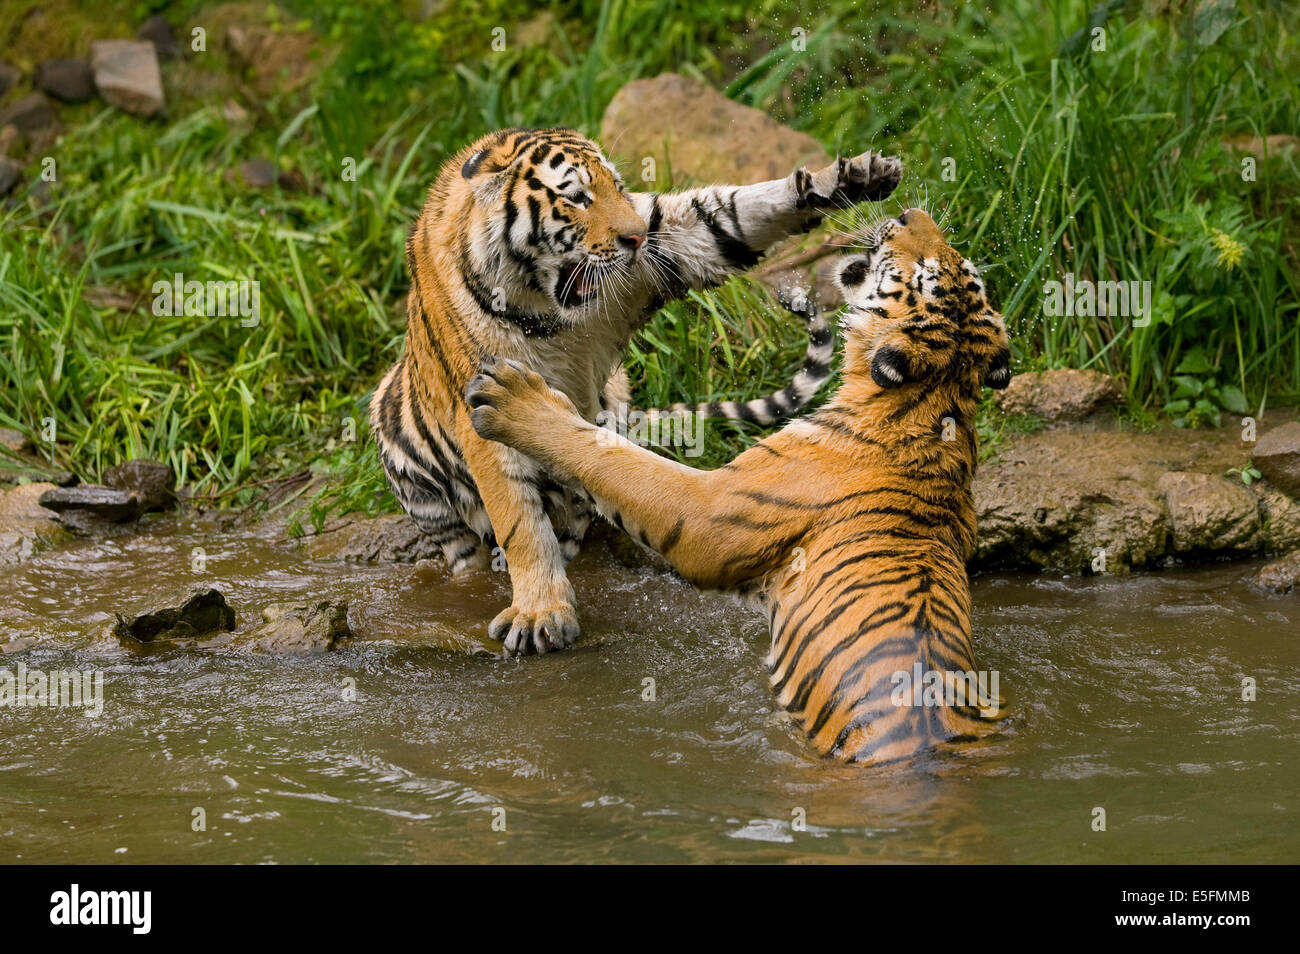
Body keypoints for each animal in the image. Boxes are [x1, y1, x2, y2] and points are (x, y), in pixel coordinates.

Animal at [369, 125, 904, 657]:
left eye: (620, 188)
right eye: (577, 197)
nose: (638, 236)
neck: (544, 309)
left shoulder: (673, 243)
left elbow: (731, 213)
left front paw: (853, 177)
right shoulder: (479, 404)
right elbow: (519, 522)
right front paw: (541, 612)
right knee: (470, 548)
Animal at [467, 210, 1013, 769]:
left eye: (927, 270)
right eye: (959, 263)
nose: (909, 214)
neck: (936, 402)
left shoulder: (708, 512)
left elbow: (613, 458)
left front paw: (516, 399)